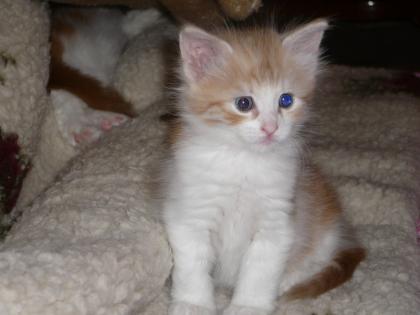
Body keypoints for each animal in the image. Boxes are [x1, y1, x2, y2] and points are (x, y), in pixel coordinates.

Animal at [162, 20, 366, 315]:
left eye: (286, 100)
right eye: (244, 103)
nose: (271, 128)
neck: (243, 162)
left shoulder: (277, 221)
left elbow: (260, 270)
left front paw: (248, 306)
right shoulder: (190, 212)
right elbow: (192, 265)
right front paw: (193, 304)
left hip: (323, 222)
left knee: (317, 258)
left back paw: (290, 279)